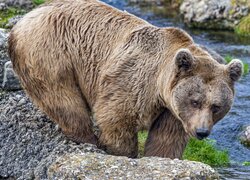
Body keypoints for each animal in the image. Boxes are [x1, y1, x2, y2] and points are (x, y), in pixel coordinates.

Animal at [8, 0, 242, 158]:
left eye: (216, 106)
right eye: (195, 101)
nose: (202, 132)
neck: (159, 87)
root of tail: (24, 19)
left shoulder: (173, 111)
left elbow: (166, 140)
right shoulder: (131, 80)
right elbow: (117, 120)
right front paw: (122, 152)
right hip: (50, 53)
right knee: (65, 101)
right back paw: (87, 138)